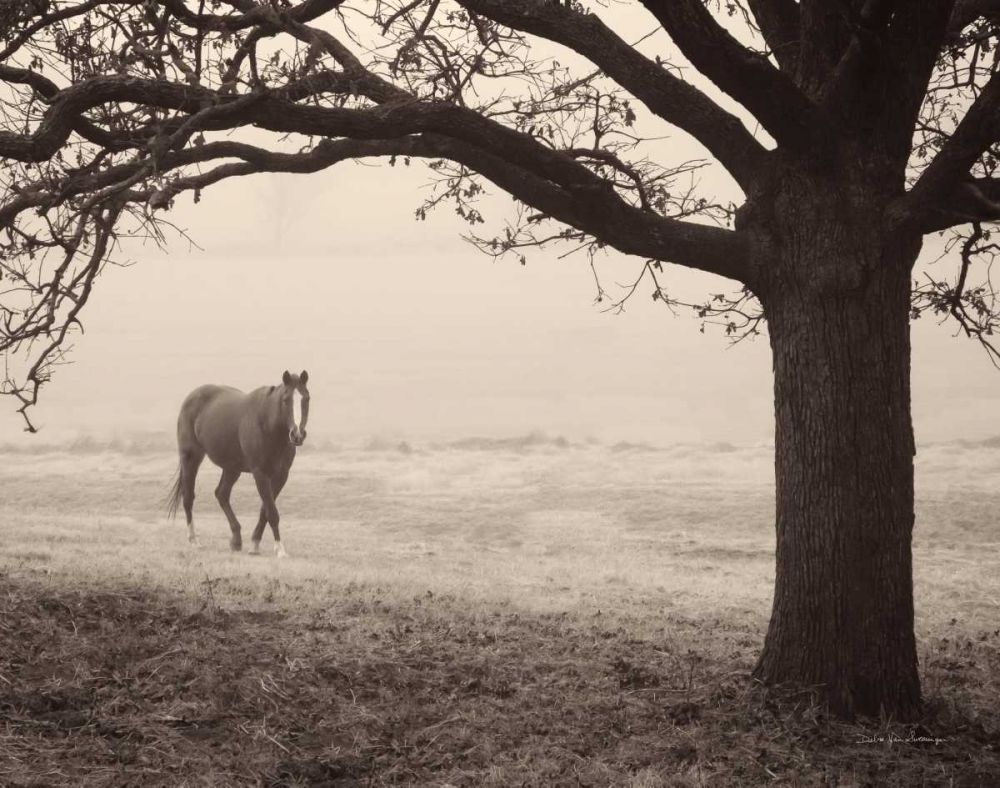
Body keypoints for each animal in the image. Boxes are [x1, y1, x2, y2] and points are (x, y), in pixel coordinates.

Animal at [167, 370, 310, 557]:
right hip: (191, 458)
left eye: (306, 398)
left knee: (221, 494)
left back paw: (236, 540)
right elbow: (272, 512)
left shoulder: (281, 476)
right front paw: (280, 549)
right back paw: (194, 541)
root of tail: (191, 398)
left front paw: (255, 544)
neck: (267, 425)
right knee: (189, 497)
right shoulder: (260, 474)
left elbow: (265, 510)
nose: (297, 435)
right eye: (286, 400)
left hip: (231, 469)